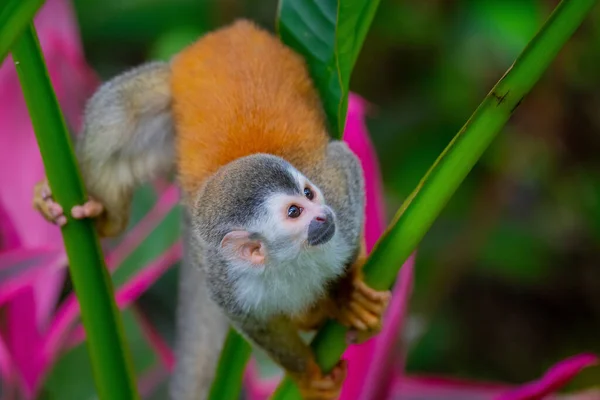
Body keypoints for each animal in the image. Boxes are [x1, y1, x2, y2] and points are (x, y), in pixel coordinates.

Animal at [32, 19, 392, 400]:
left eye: (309, 193)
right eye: (295, 212)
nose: (323, 216)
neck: (290, 255)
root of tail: (227, 32)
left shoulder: (339, 196)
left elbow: (346, 164)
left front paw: (347, 293)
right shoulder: (224, 279)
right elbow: (257, 325)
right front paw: (307, 375)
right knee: (118, 110)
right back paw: (102, 217)